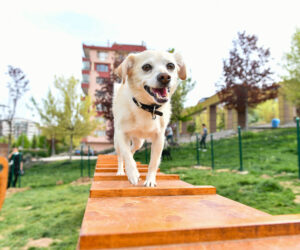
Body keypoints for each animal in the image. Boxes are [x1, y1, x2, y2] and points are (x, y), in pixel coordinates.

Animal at [113, 50, 186, 187]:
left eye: (171, 66)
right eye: (146, 67)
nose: (165, 77)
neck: (147, 107)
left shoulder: (159, 138)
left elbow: (153, 162)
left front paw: (150, 180)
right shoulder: (122, 135)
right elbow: (126, 155)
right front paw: (133, 173)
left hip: (139, 142)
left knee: (132, 150)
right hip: (117, 142)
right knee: (121, 155)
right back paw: (121, 171)